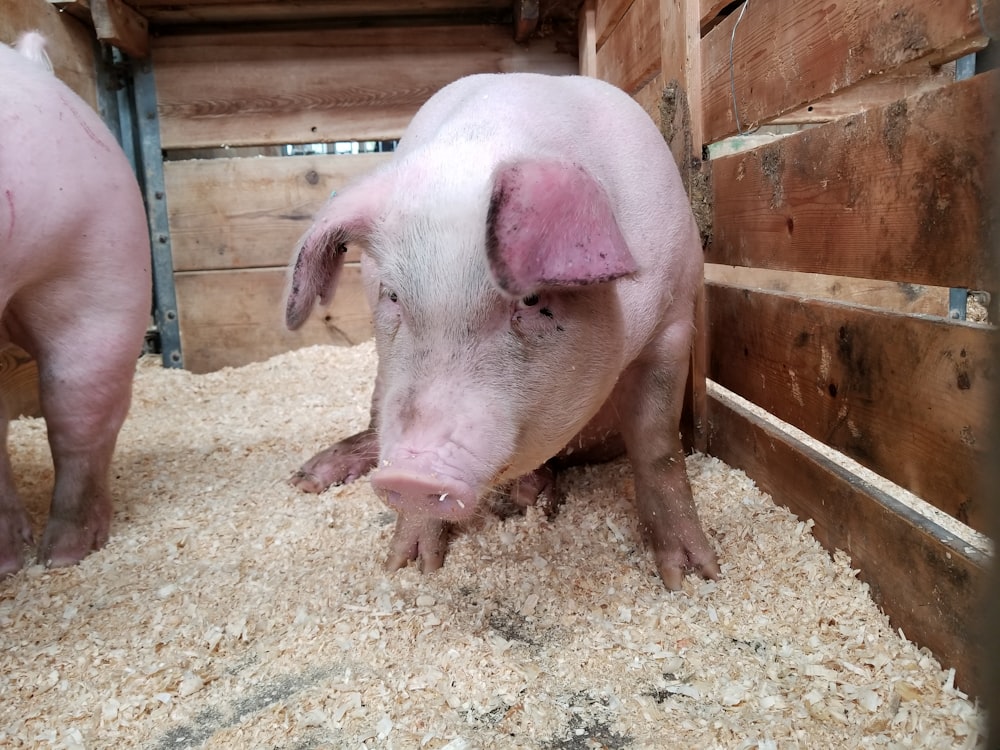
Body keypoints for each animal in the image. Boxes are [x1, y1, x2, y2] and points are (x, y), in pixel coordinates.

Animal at [288, 73, 720, 592]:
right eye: (392, 295)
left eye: (531, 301)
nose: (412, 475)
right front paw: (407, 566)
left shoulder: (675, 314)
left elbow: (658, 445)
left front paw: (694, 577)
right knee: (374, 428)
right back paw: (306, 478)